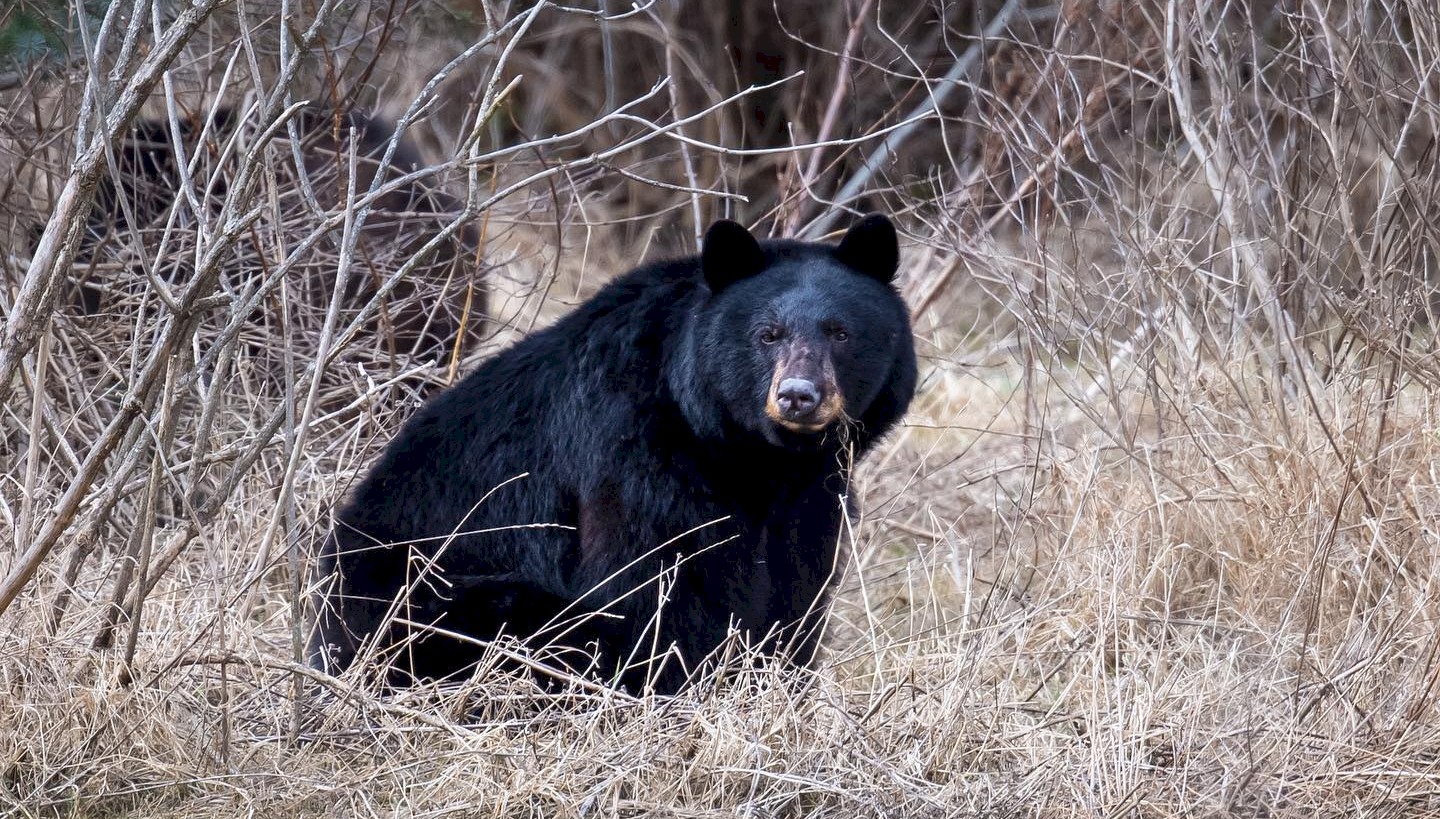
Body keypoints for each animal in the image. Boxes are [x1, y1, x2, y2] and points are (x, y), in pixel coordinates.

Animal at [313, 214, 915, 693]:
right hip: (432, 603)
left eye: (840, 332)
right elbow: (658, 585)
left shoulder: (815, 490)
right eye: (767, 334)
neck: (751, 455)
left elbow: (798, 582)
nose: (798, 396)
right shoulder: (635, 452)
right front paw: (683, 689)